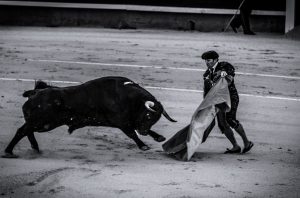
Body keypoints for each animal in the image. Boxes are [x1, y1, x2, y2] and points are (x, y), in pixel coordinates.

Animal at [1, 76, 176, 158]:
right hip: (43, 123)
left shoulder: (130, 121)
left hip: (43, 124)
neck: (129, 98)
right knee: (21, 131)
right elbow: (132, 133)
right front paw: (143, 145)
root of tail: (35, 92)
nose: (144, 132)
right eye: (148, 115)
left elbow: (136, 130)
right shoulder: (122, 122)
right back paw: (9, 151)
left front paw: (158, 137)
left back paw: (35, 148)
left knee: (26, 131)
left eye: (155, 119)